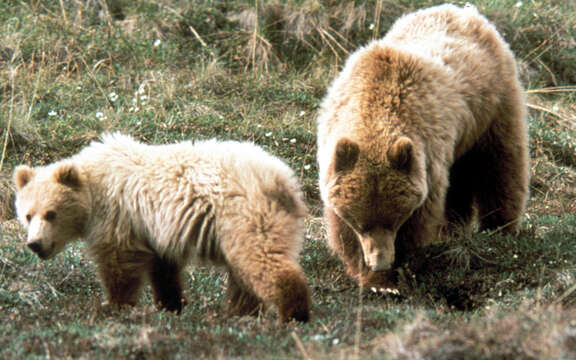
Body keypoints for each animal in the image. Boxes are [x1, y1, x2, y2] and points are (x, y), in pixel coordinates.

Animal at [318, 3, 528, 290]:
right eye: (361, 224)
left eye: (395, 220)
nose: (380, 261)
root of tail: (464, 11)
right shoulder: (334, 155)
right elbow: (340, 226)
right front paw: (368, 272)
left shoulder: (426, 157)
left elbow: (420, 217)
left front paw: (391, 276)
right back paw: (453, 230)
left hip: (492, 106)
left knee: (499, 165)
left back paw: (498, 227)